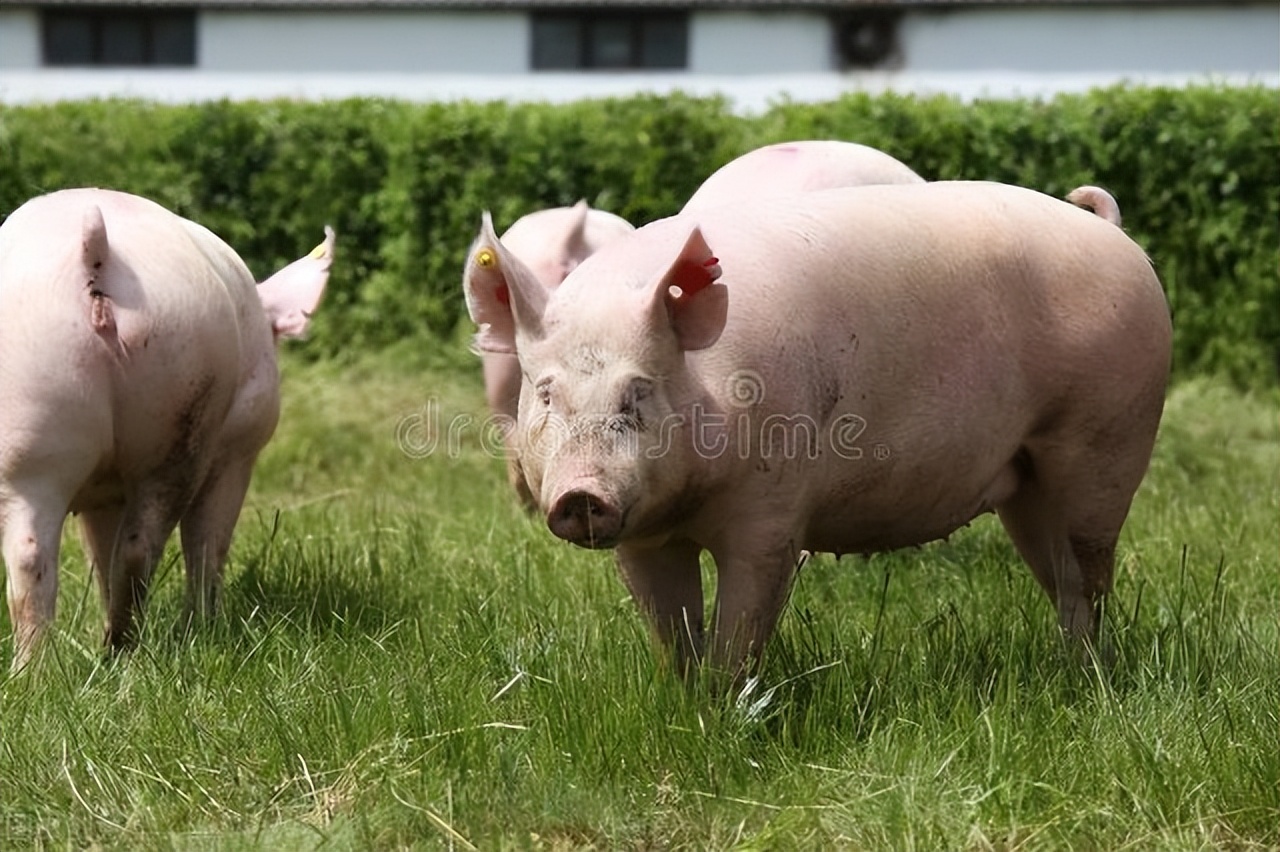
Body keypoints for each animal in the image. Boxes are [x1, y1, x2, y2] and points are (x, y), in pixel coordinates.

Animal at [1, 188, 330, 670]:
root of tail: (96, 254)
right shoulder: (237, 454)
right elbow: (210, 540)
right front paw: (207, 626)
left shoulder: (104, 491)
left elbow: (100, 551)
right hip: (186, 405)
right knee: (144, 546)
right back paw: (130, 647)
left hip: (32, 419)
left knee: (32, 556)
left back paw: (38, 673)